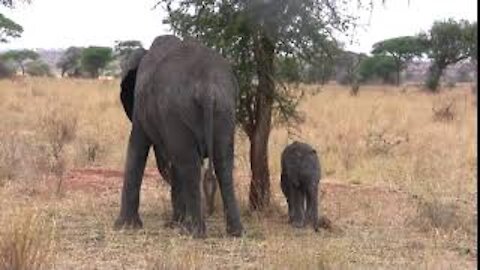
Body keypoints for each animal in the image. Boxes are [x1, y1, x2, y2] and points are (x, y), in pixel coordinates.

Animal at [113, 34, 244, 237]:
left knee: (189, 164)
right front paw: (175, 224)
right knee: (223, 162)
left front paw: (123, 227)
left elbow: (137, 148)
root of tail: (207, 87)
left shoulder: (142, 106)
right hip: (226, 107)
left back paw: (194, 232)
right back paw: (235, 232)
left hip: (177, 109)